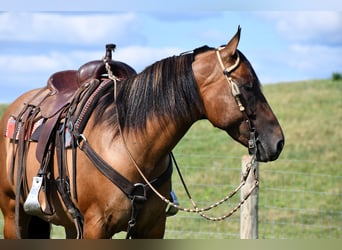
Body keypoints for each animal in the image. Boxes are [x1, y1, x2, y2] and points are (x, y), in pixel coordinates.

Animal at [0, 27, 284, 238]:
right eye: (247, 85)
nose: (279, 142)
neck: (129, 146)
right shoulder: (96, 227)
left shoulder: (153, 228)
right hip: (14, 213)